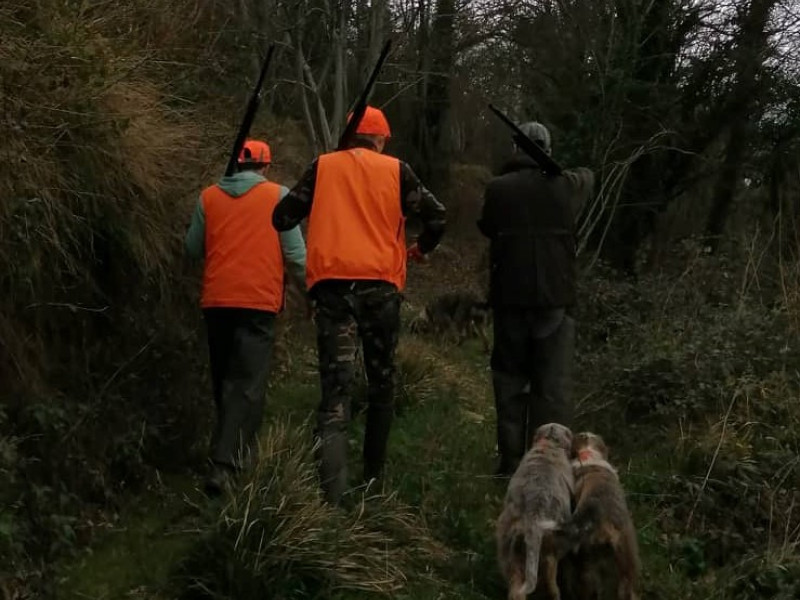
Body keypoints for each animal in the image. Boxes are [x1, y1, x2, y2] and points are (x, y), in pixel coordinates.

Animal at [496, 422, 572, 600]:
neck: (550, 444)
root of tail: (535, 520)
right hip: (552, 548)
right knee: (550, 578)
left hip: (511, 546)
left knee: (516, 585)